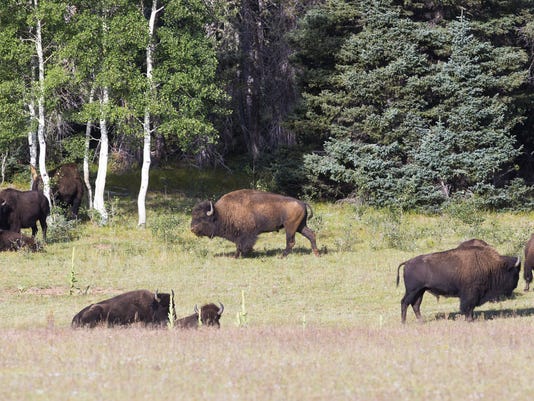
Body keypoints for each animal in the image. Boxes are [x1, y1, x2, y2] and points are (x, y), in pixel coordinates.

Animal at [191, 189, 320, 258]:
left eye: (202, 218)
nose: (192, 229)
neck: (221, 213)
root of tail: (302, 202)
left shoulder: (245, 235)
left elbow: (240, 245)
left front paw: (237, 256)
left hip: (290, 228)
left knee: (291, 242)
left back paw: (281, 256)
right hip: (300, 226)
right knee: (311, 234)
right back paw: (316, 253)